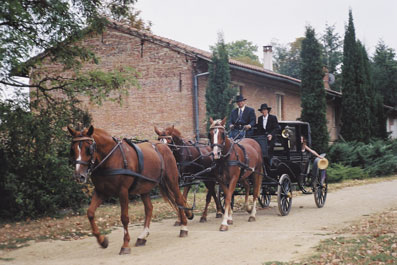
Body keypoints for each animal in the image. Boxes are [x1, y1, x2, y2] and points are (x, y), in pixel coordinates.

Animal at [68, 125, 192, 254]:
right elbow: (90, 213)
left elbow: (124, 218)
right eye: (72, 149)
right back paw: (143, 236)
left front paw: (125, 244)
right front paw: (102, 240)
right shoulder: (101, 191)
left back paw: (183, 227)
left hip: (172, 180)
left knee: (179, 200)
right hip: (144, 187)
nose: (79, 176)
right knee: (149, 208)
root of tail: (164, 146)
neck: (111, 158)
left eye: (89, 148)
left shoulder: (123, 191)